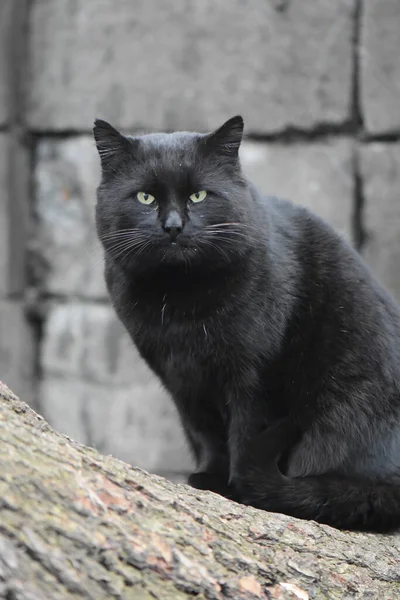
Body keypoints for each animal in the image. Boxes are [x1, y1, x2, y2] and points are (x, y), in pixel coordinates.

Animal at [94, 116, 400, 528]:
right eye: (145, 198)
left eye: (199, 196)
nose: (173, 226)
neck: (181, 304)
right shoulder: (182, 380)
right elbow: (204, 433)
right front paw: (209, 477)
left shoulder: (255, 375)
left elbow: (244, 432)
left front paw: (238, 490)